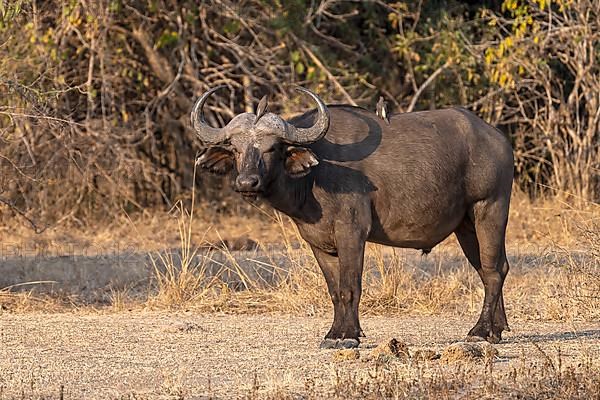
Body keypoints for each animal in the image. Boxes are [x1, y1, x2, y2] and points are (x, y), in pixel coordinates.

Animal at [195, 86, 512, 348]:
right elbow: (335, 290)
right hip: (465, 226)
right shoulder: (319, 243)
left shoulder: (352, 233)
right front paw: (336, 332)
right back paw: (498, 328)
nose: (247, 183)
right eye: (236, 149)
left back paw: (481, 331)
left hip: (490, 209)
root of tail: (498, 139)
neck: (315, 175)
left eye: (272, 148)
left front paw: (347, 336)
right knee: (492, 268)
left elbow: (350, 286)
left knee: (493, 270)